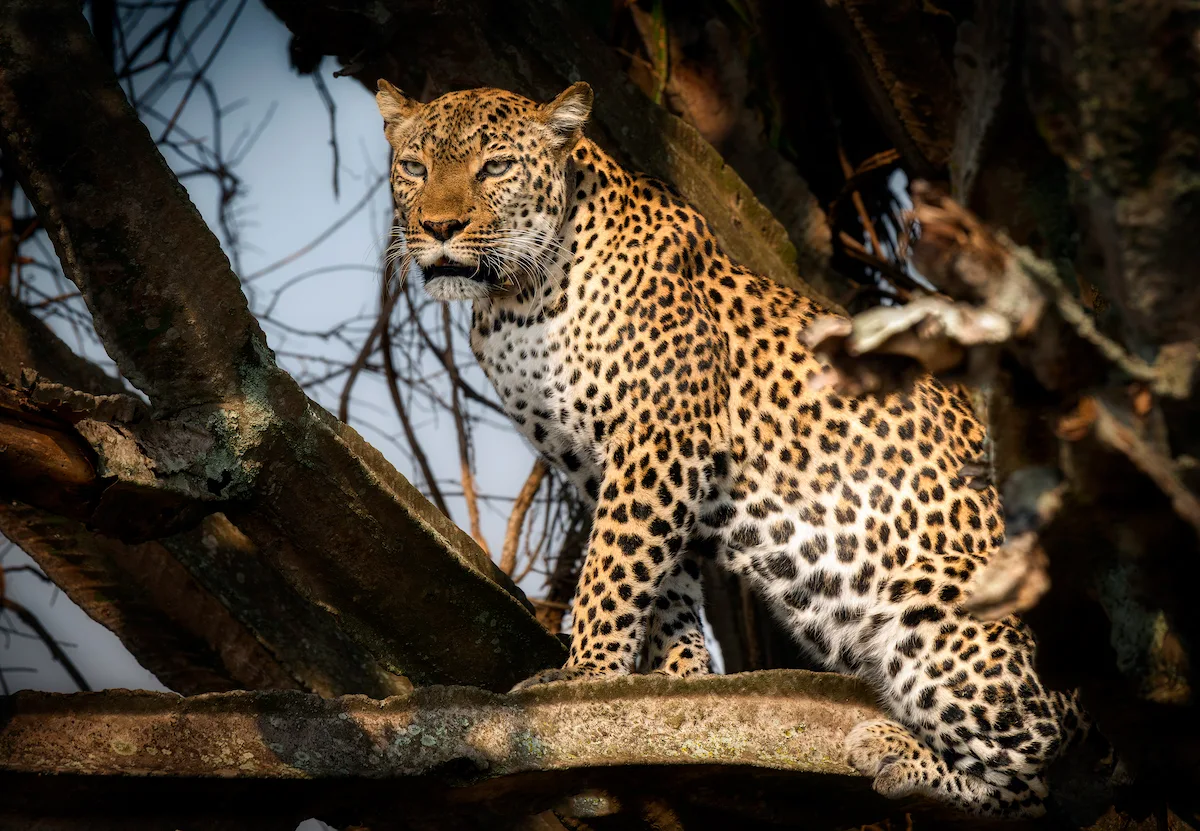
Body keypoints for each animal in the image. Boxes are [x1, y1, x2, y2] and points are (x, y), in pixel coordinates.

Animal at [375, 78, 1090, 818]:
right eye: (414, 168)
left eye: (494, 168)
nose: (439, 227)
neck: (516, 303)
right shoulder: (606, 466)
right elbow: (664, 582)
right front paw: (678, 684)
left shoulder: (660, 434)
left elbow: (612, 568)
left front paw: (584, 678)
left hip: (934, 600)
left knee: (1033, 788)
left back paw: (897, 753)